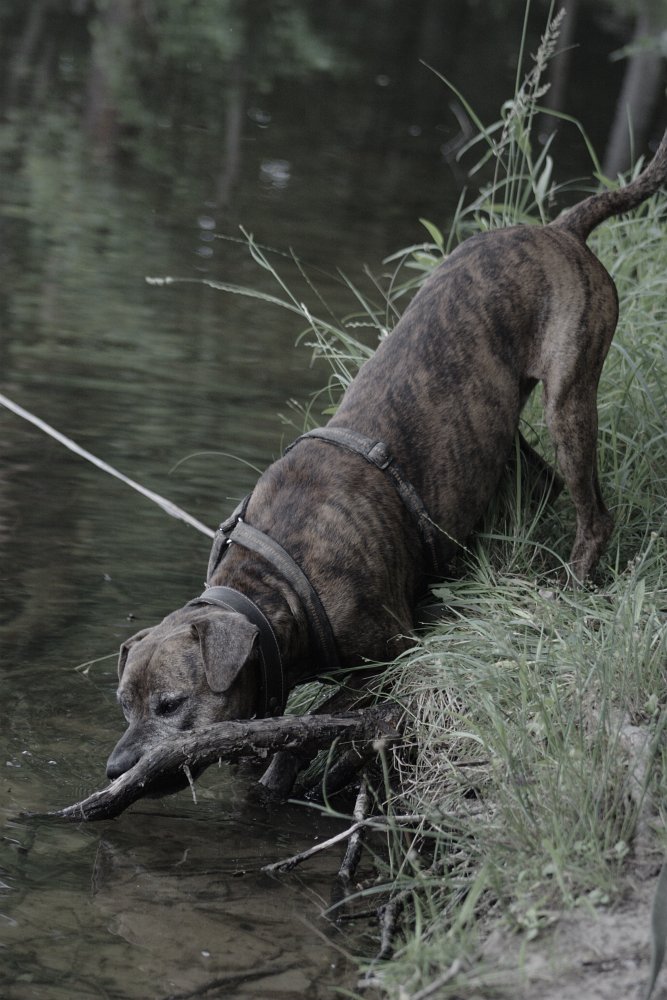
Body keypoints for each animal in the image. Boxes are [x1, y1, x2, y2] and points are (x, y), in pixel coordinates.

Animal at [107, 135, 664, 788]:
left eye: (170, 704)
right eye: (123, 704)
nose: (117, 766)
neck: (274, 588)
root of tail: (560, 230)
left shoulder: (394, 649)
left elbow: (317, 717)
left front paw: (283, 769)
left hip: (569, 399)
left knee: (593, 512)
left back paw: (572, 585)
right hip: (501, 437)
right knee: (540, 482)